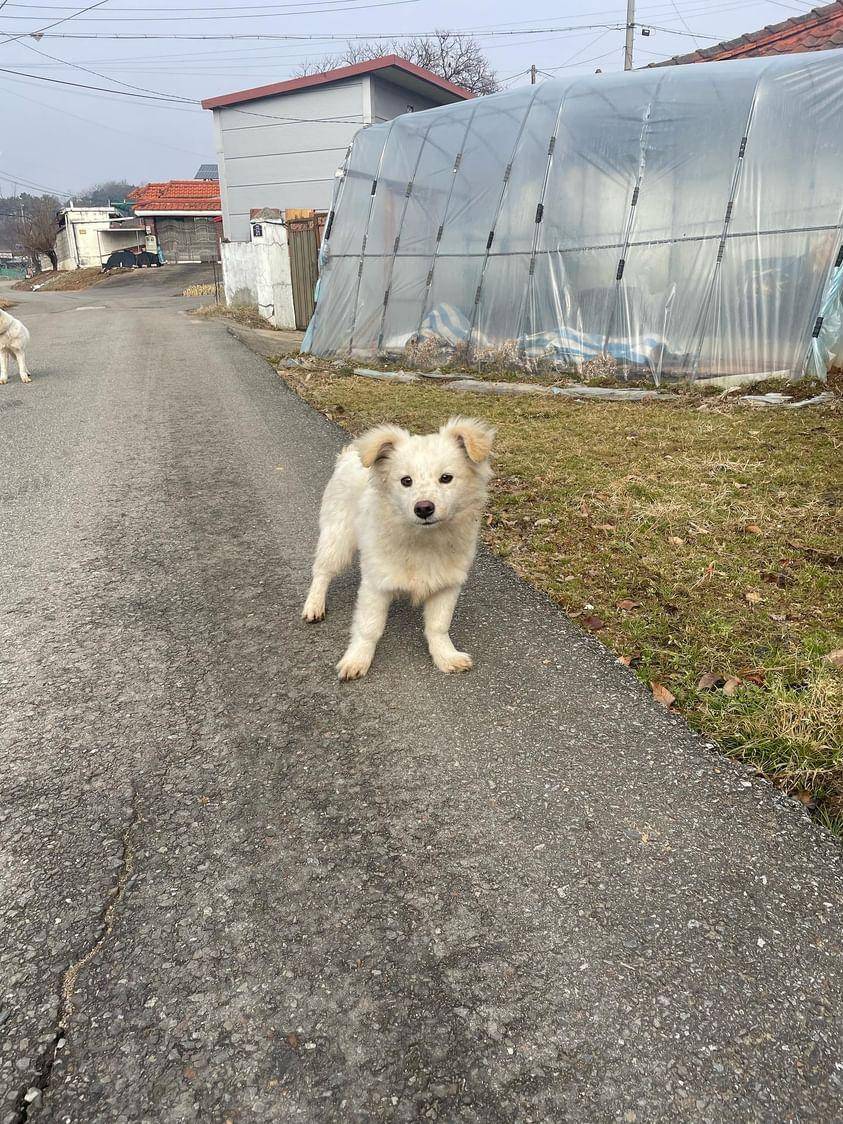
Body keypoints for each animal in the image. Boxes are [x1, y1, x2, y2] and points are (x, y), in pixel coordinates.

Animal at [305, 418, 494, 678]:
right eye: (406, 481)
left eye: (446, 478)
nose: (424, 508)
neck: (423, 540)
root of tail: (347, 456)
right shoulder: (375, 585)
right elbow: (369, 628)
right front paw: (357, 659)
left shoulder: (447, 583)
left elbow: (438, 625)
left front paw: (445, 656)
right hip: (338, 538)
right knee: (321, 572)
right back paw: (314, 605)